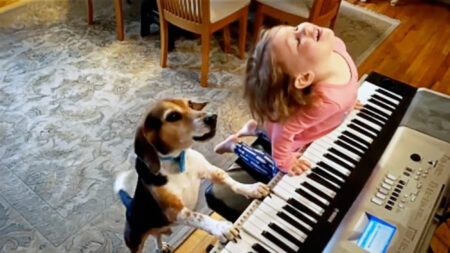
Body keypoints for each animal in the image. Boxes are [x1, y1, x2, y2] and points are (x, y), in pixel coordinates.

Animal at [114, 99, 268, 253]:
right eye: (173, 116)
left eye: (190, 105)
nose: (213, 117)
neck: (179, 160)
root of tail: (130, 204)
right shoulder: (176, 211)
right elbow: (199, 217)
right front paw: (221, 227)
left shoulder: (212, 172)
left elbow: (233, 183)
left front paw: (252, 189)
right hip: (135, 242)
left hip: (161, 228)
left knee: (157, 235)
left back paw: (161, 246)